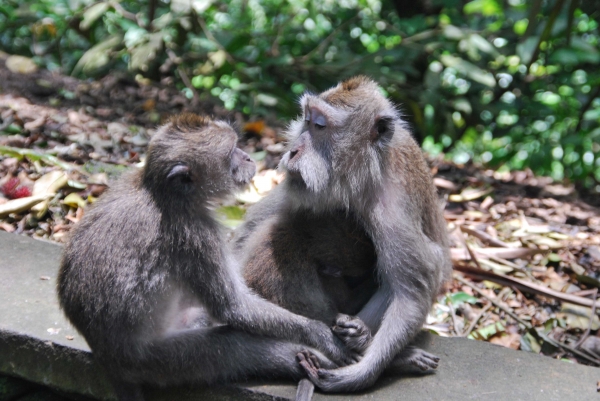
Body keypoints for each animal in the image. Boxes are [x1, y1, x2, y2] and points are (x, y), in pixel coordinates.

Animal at [57, 113, 360, 400]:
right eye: (232, 152)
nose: (248, 157)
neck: (165, 193)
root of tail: (108, 359)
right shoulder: (196, 234)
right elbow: (233, 308)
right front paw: (320, 334)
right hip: (159, 362)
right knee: (233, 348)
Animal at [234, 76, 450, 392]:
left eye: (320, 125)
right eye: (306, 121)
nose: (293, 151)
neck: (360, 176)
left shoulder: (393, 209)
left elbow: (412, 290)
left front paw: (360, 374)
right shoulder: (300, 188)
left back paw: (365, 342)